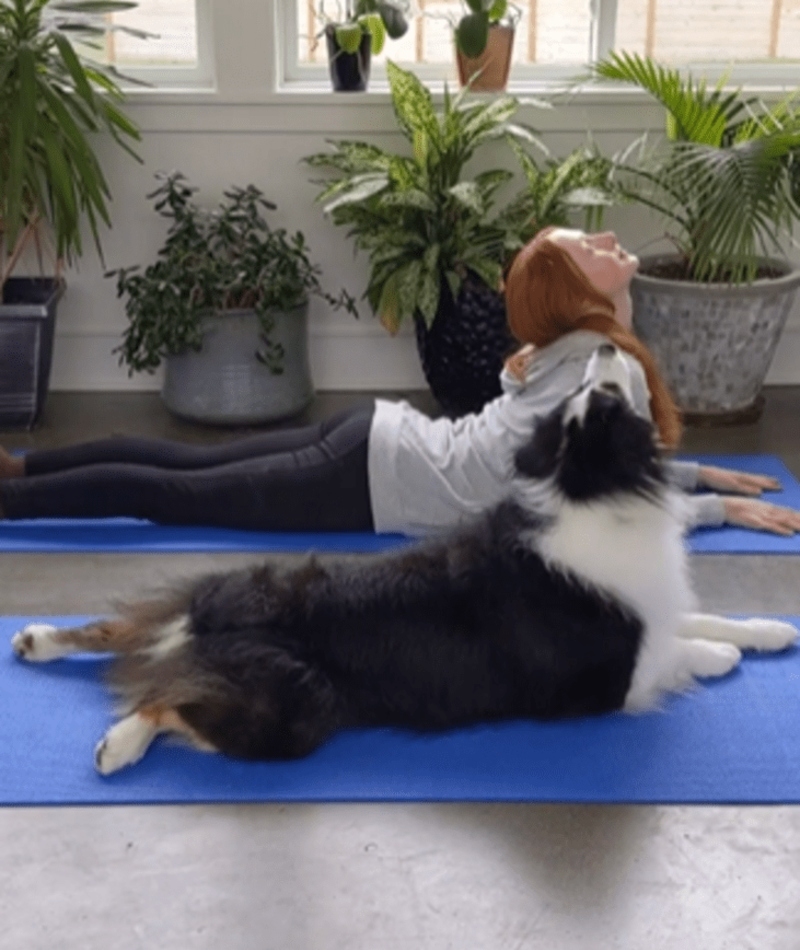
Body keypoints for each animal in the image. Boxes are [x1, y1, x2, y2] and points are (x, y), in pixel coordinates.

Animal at [10, 344, 792, 772]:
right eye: (599, 395)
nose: (603, 352)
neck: (588, 488)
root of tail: (205, 628)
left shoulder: (648, 609)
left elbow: (710, 618)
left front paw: (774, 631)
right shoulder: (608, 680)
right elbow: (685, 651)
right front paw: (723, 659)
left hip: (221, 585)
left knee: (118, 629)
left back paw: (37, 639)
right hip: (295, 706)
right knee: (163, 699)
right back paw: (118, 744)